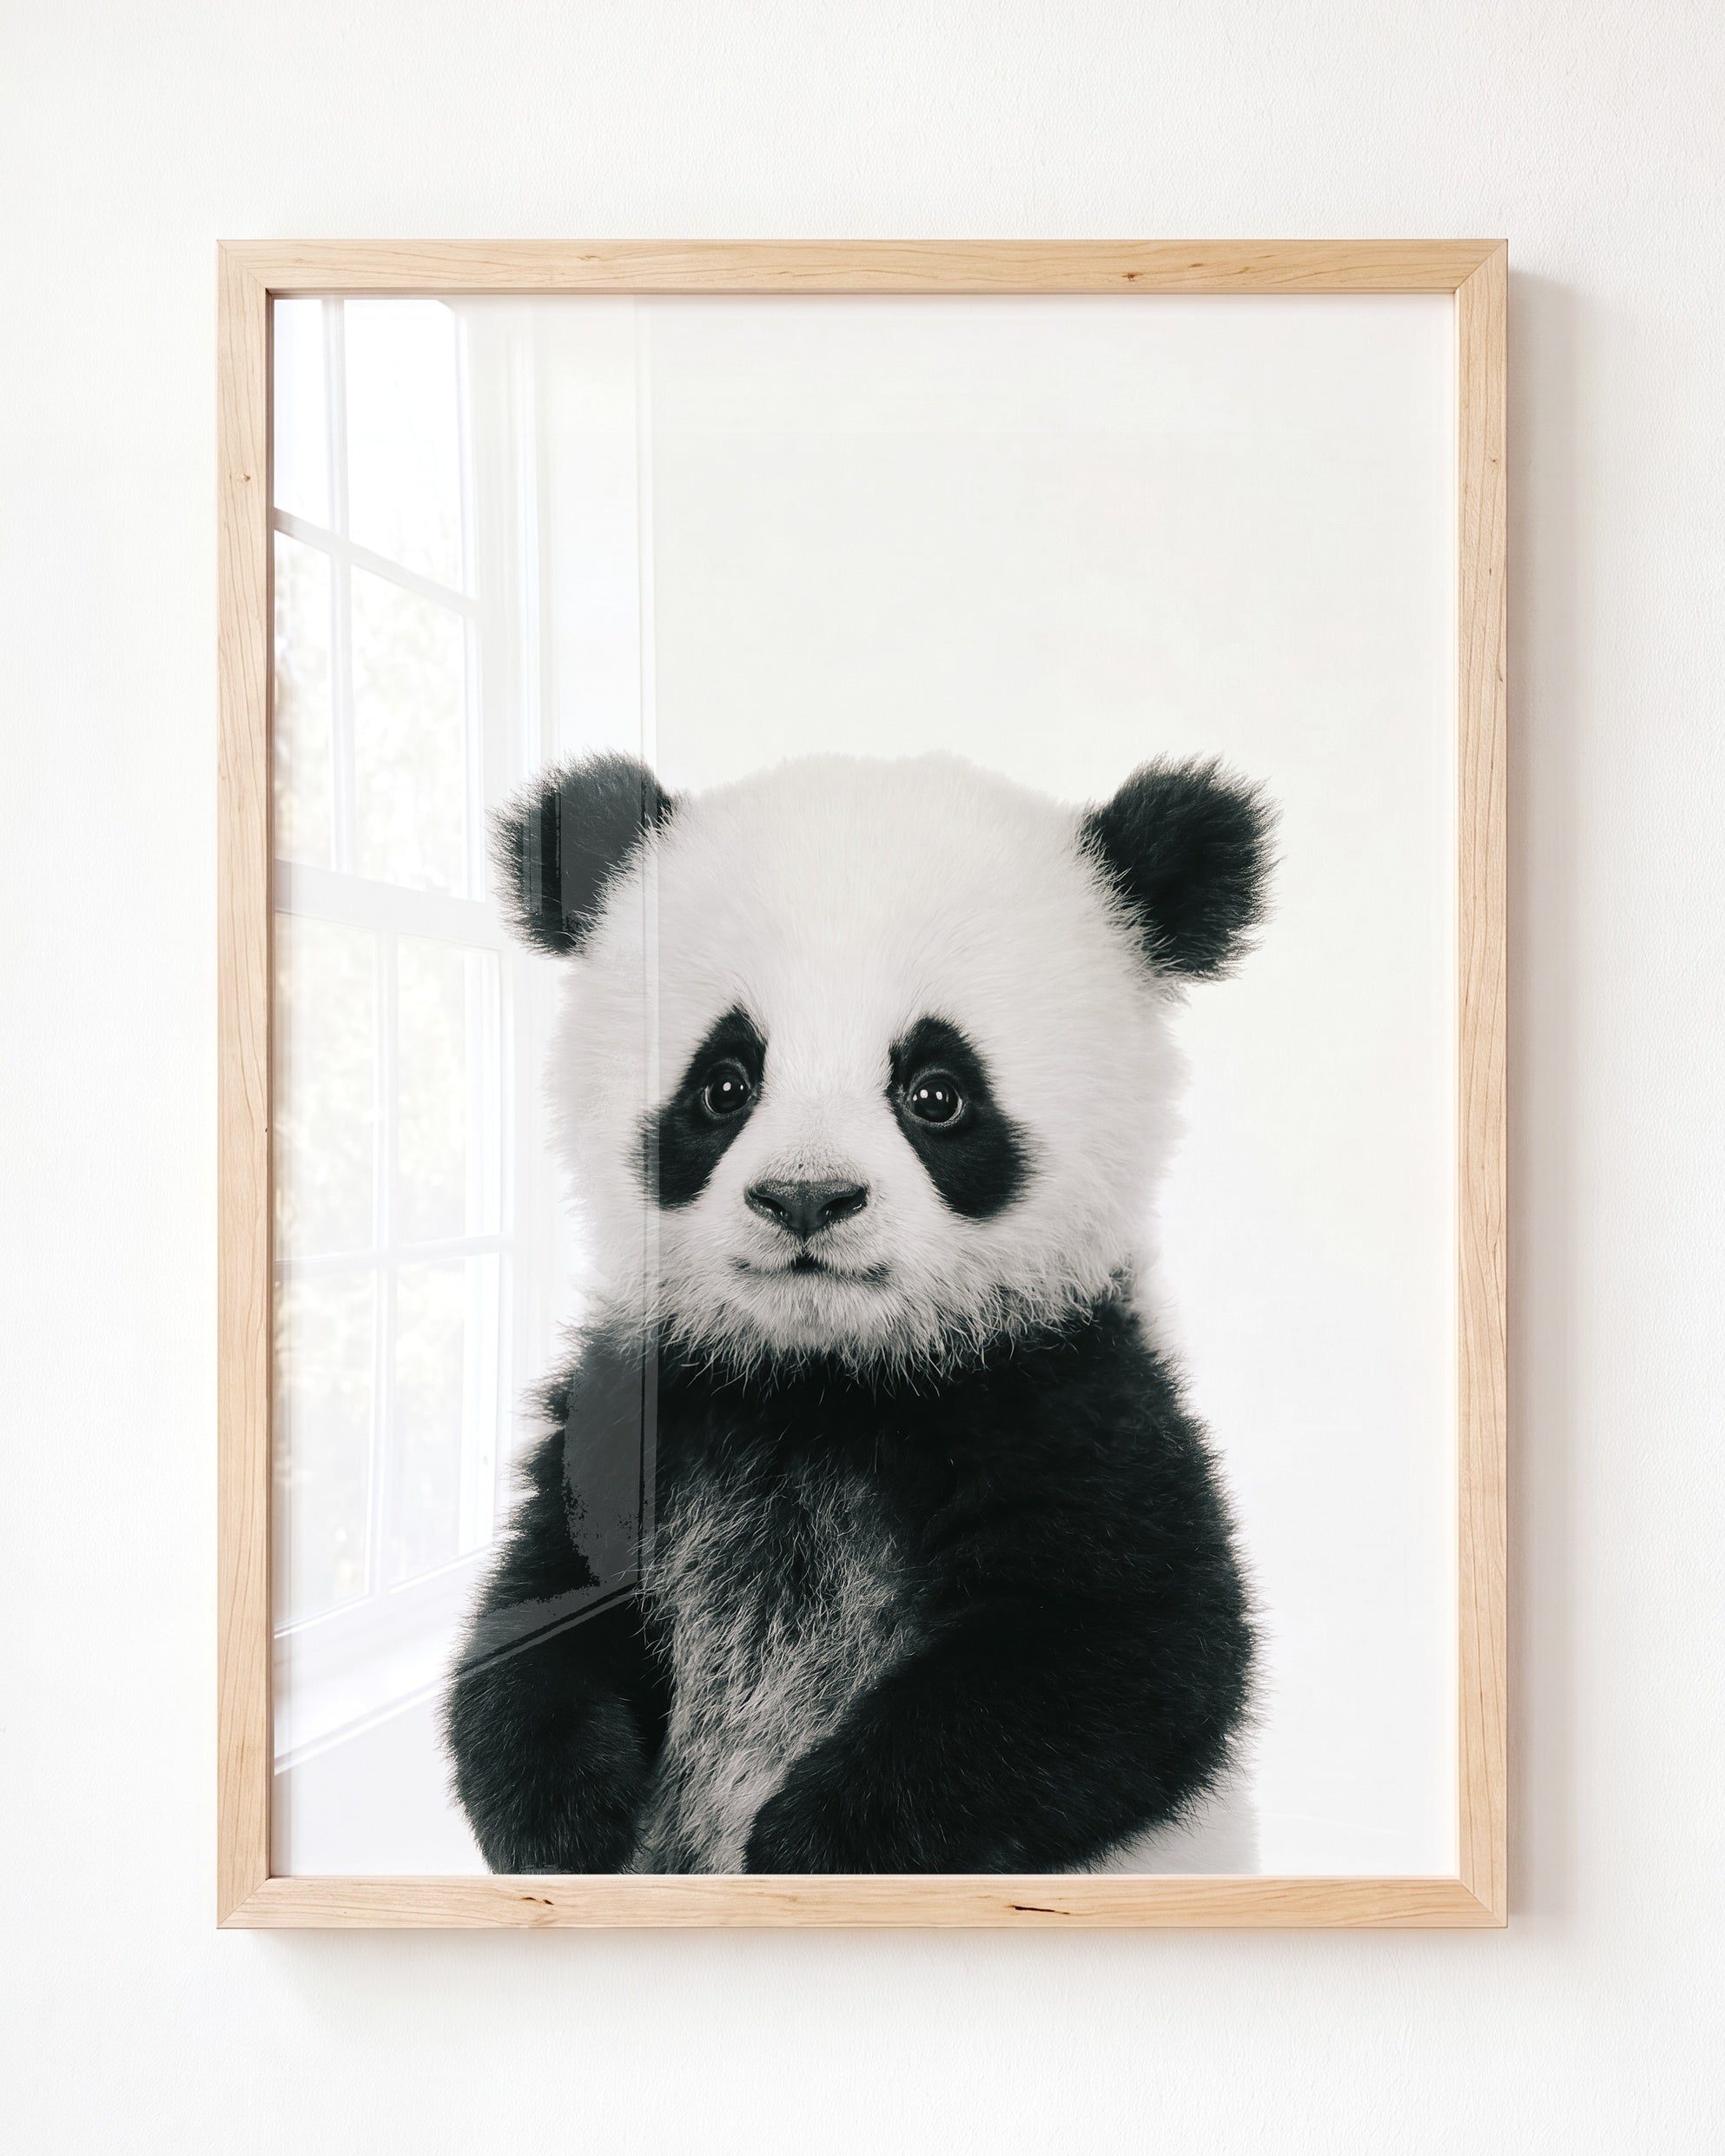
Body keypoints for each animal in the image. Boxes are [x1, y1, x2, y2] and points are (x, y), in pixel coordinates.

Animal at [444, 749, 1271, 1875]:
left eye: (936, 1091)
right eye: (725, 1083)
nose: (806, 1197)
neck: (826, 1378)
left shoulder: (1069, 1396)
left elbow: (1129, 1655)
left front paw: (809, 1844)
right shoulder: (645, 1407)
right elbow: (537, 1612)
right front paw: (564, 1821)